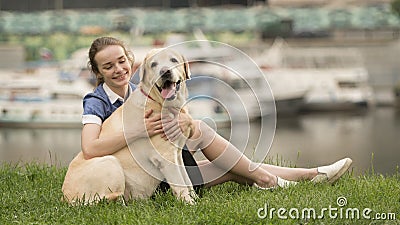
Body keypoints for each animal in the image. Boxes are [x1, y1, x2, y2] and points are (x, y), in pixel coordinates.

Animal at [61, 48, 198, 205]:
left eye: (174, 60)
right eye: (154, 64)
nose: (165, 71)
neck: (159, 102)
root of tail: (65, 198)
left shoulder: (177, 153)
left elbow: (187, 180)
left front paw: (195, 199)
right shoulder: (165, 157)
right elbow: (180, 184)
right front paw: (189, 204)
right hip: (110, 162)